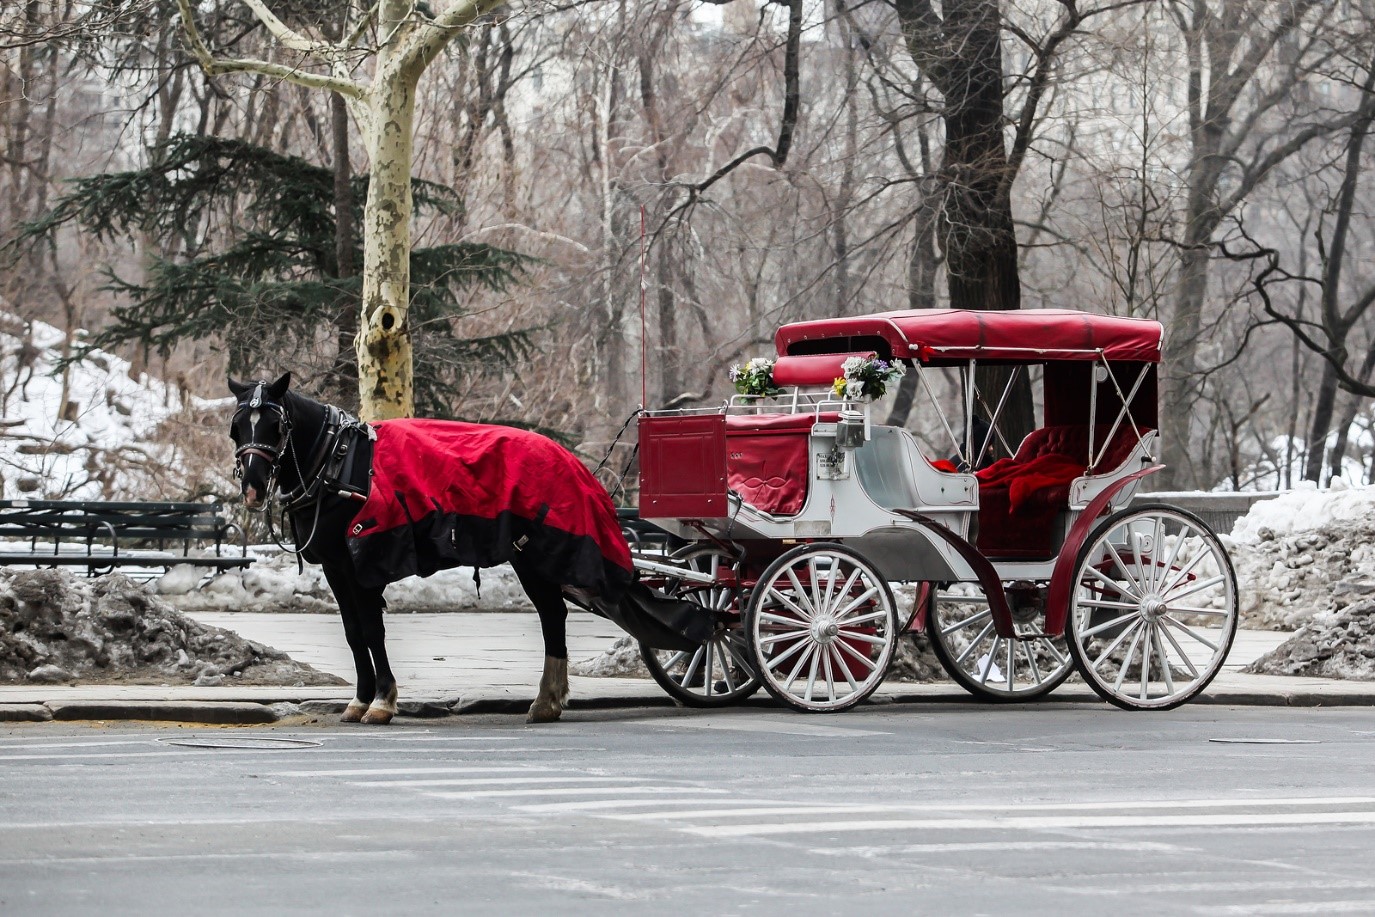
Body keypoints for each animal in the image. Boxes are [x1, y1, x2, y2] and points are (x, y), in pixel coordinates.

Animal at [226, 373, 709, 725]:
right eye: (236, 428)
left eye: (275, 426)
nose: (252, 487)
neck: (339, 462)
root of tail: (573, 462)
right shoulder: (336, 567)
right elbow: (352, 633)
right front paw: (360, 700)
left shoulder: (361, 564)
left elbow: (371, 632)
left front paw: (382, 701)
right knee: (554, 616)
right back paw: (550, 700)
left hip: (535, 558)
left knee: (553, 617)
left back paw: (547, 700)